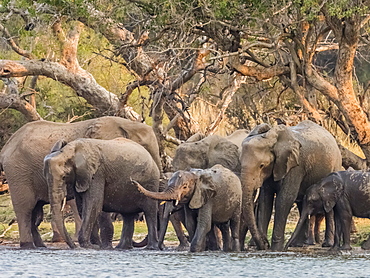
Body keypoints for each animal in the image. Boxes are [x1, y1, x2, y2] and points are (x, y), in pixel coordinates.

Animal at [0, 116, 162, 249]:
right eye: (147, 148)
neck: (127, 124)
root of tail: (6, 147)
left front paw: (96, 244)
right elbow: (98, 205)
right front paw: (104, 246)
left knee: (36, 210)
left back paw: (40, 246)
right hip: (18, 172)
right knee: (25, 209)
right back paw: (28, 246)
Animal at [241, 120, 342, 251]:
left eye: (262, 165)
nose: (264, 243)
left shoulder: (295, 167)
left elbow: (284, 199)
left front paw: (276, 249)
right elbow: (266, 200)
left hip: (335, 166)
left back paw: (327, 244)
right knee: (302, 203)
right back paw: (297, 244)